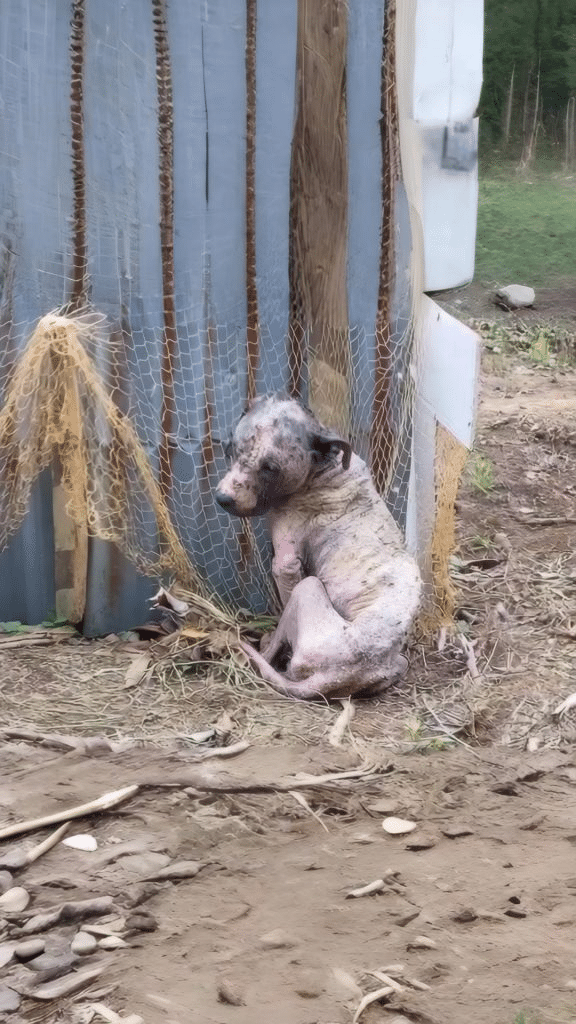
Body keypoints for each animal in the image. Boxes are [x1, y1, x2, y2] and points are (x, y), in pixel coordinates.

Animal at [215, 394, 422, 700]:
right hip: (399, 663)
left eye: (270, 468)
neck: (325, 466)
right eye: (229, 448)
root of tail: (340, 674)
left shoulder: (286, 565)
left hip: (307, 588)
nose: (223, 498)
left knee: (273, 651)